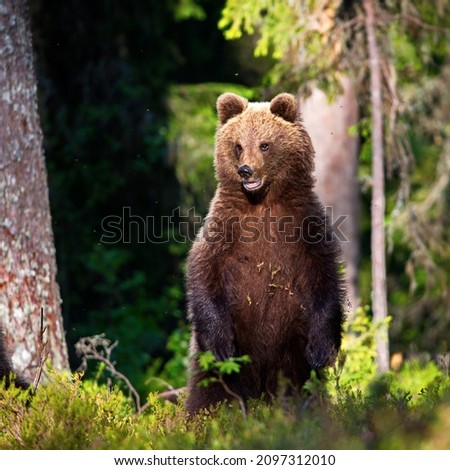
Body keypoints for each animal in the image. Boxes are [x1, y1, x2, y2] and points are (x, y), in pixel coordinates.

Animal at [185, 92, 346, 414]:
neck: (262, 202)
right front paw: (222, 345)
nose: (245, 170)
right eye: (238, 145)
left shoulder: (305, 227)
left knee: (300, 385)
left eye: (265, 144)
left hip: (291, 346)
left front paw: (322, 349)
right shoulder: (226, 228)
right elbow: (203, 269)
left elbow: (326, 277)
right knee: (210, 390)